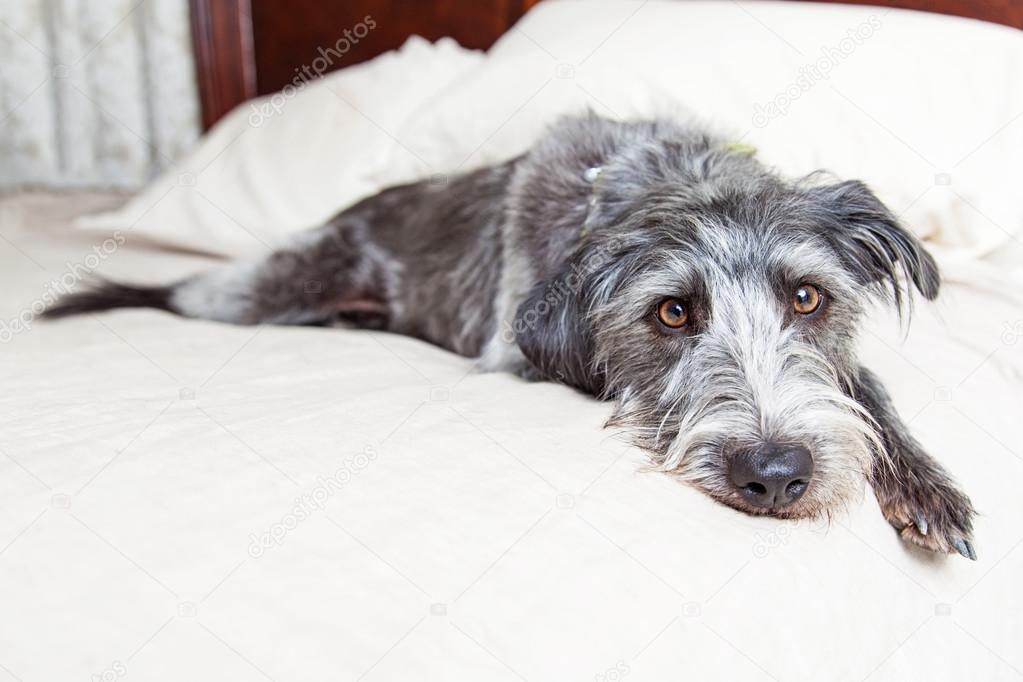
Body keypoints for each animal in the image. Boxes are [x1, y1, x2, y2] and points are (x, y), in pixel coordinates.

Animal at [46, 113, 973, 560]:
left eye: (807, 298)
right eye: (672, 314)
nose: (776, 475)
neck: (665, 175)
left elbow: (860, 386)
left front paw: (923, 483)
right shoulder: (518, 353)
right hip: (256, 291)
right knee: (178, 293)